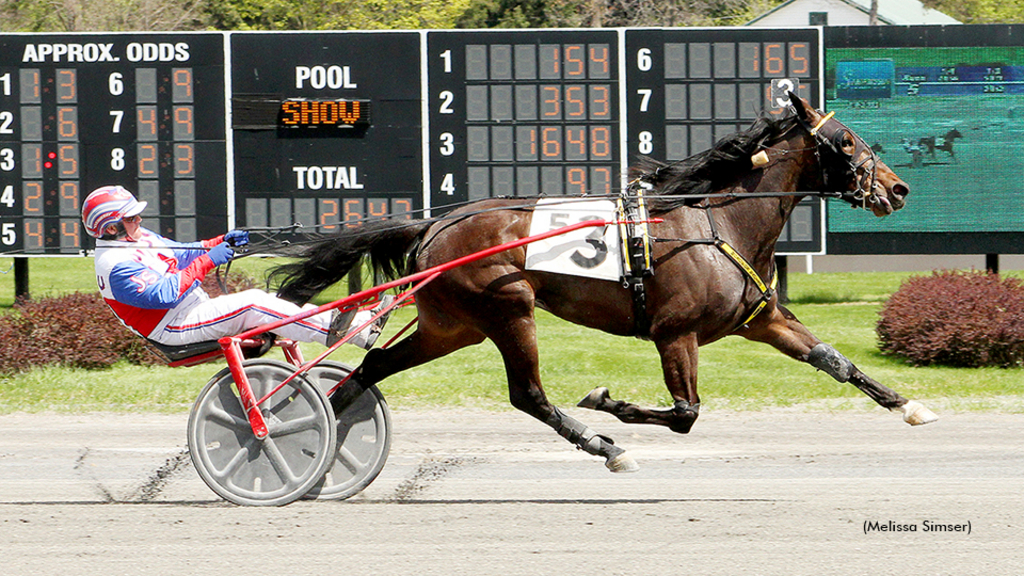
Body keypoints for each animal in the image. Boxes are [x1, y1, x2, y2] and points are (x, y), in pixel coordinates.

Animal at [266, 95, 937, 471]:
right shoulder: (675, 332)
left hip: (451, 326)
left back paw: (305, 438)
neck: (718, 221)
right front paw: (606, 404)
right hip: (508, 309)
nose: (899, 188)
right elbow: (685, 414)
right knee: (528, 396)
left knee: (371, 368)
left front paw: (911, 405)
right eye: (845, 140)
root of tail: (433, 225)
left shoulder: (761, 320)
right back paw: (605, 447)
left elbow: (835, 361)